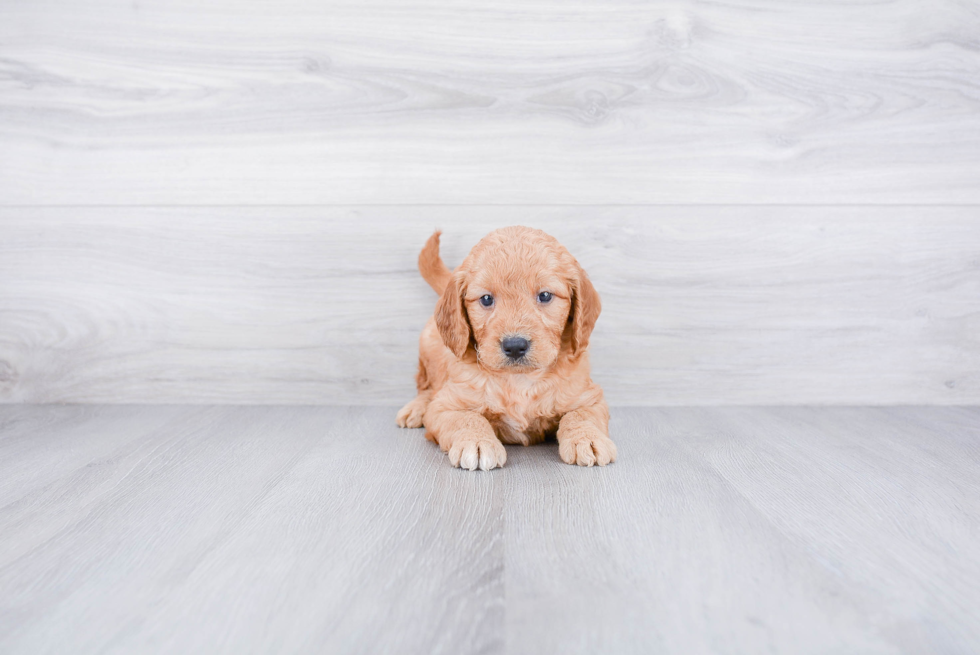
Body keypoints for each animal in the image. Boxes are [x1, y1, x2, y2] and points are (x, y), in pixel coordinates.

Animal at [396, 227, 612, 472]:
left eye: (545, 295)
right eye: (486, 299)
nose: (515, 345)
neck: (519, 380)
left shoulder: (589, 397)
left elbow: (580, 415)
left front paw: (588, 439)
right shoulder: (445, 405)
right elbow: (467, 418)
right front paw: (476, 442)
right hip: (429, 350)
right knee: (426, 387)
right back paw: (415, 408)